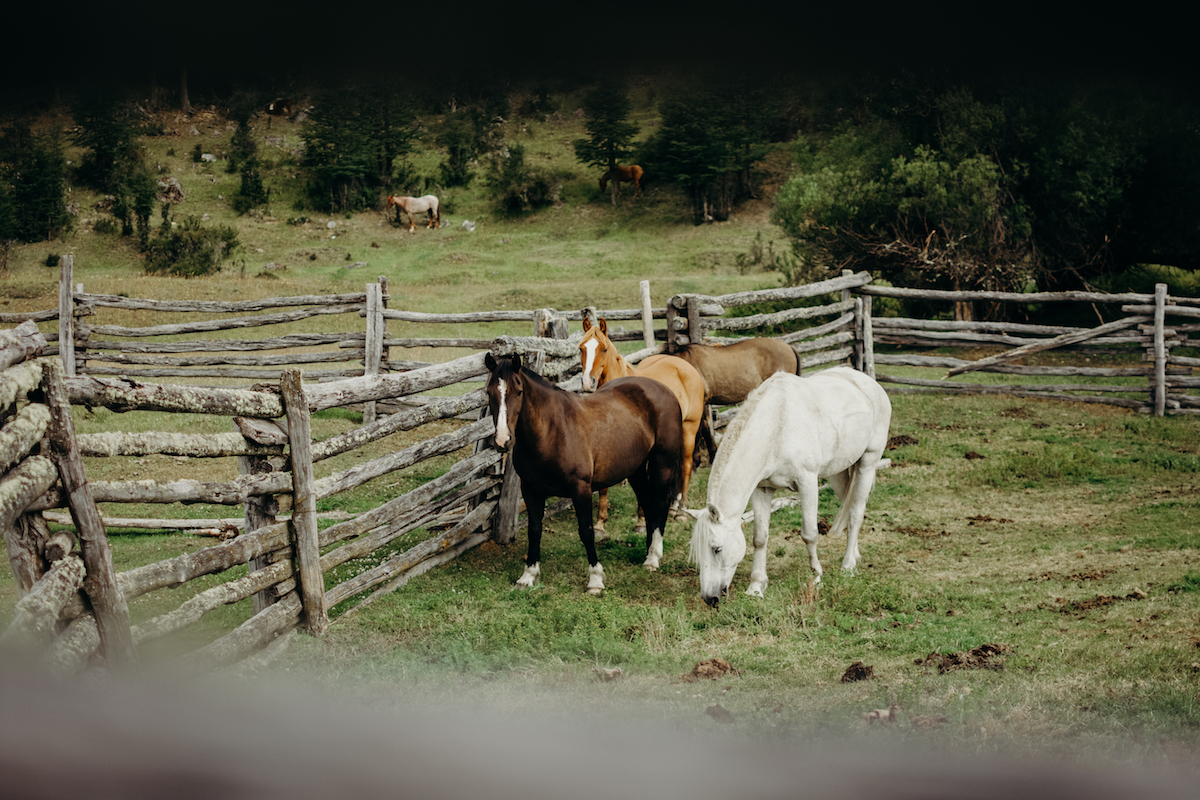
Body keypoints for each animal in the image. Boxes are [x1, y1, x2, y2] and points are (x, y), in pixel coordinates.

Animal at [484, 352, 683, 594]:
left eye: (518, 391)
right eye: (489, 392)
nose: (503, 440)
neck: (551, 431)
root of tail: (664, 390)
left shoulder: (581, 489)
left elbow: (586, 531)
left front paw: (595, 579)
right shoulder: (531, 490)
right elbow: (534, 529)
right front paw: (528, 575)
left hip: (663, 462)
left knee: (661, 503)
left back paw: (653, 558)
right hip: (635, 469)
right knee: (647, 502)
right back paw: (647, 552)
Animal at [578, 317, 707, 533]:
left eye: (604, 349)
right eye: (581, 348)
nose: (589, 383)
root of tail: (685, 366)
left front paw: (641, 521)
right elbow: (604, 486)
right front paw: (600, 524)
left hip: (689, 427)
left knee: (686, 465)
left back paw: (681, 511)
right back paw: (673, 507)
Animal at [688, 367, 891, 607]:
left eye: (716, 549)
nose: (709, 598)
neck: (777, 428)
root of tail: (869, 383)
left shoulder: (807, 483)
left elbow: (810, 533)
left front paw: (817, 576)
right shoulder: (762, 490)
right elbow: (760, 538)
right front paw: (756, 587)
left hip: (868, 462)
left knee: (856, 513)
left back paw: (848, 565)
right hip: (840, 473)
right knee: (848, 508)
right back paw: (856, 556)